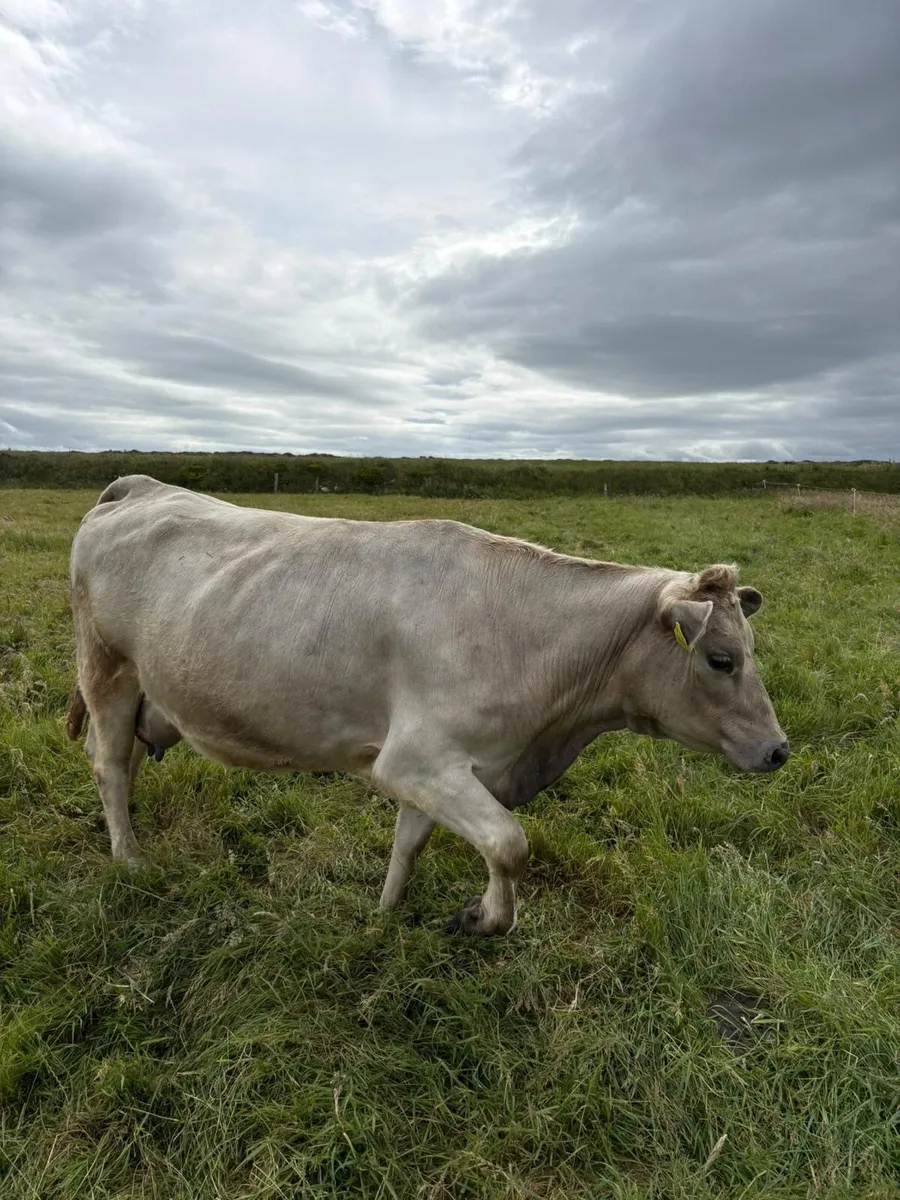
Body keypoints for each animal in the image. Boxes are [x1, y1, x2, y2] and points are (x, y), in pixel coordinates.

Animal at [66, 474, 789, 936]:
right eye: (721, 659)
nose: (779, 750)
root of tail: (142, 485)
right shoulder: (416, 758)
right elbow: (509, 843)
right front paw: (486, 919)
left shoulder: (440, 768)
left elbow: (410, 844)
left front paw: (385, 916)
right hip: (106, 666)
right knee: (110, 764)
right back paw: (130, 859)